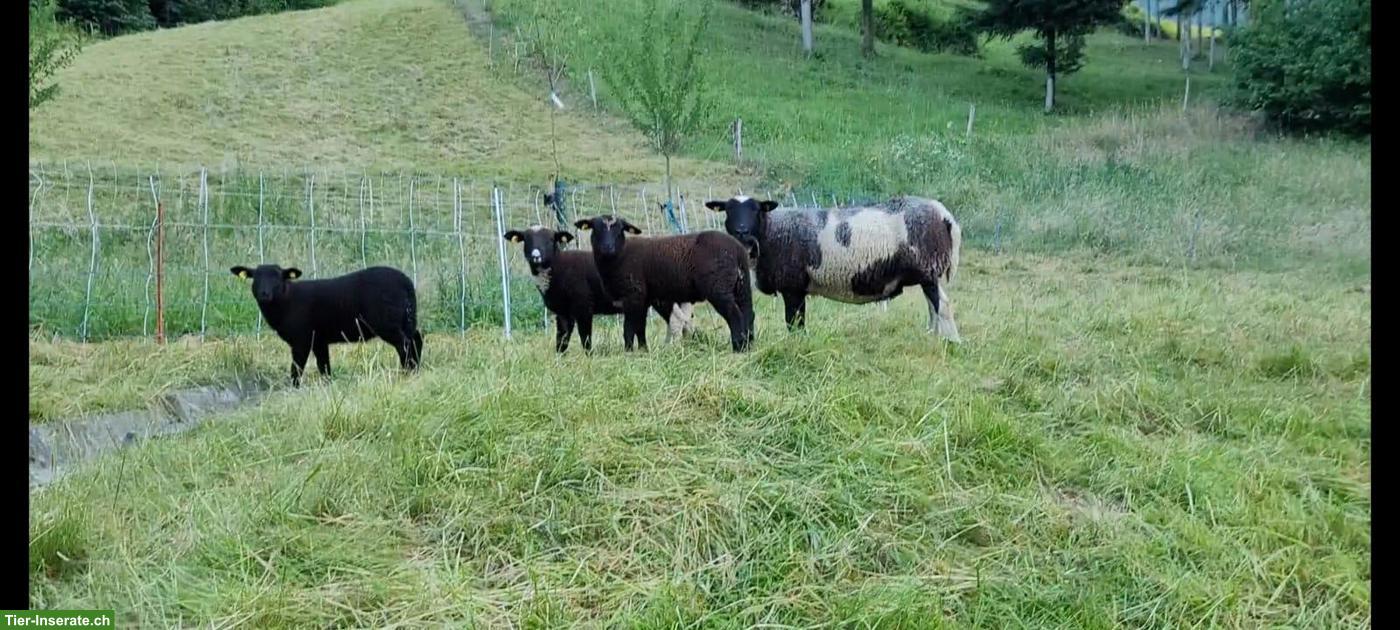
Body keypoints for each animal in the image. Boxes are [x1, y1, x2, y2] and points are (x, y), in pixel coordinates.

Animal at [229, 264, 423, 386]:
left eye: (278, 278)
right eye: (255, 278)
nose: (264, 293)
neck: (287, 300)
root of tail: (406, 282)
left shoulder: (302, 339)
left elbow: (296, 368)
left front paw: (294, 389)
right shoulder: (319, 340)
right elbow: (324, 367)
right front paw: (328, 386)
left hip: (387, 322)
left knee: (404, 344)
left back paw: (406, 373)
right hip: (408, 318)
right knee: (416, 339)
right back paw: (416, 370)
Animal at [502, 225, 696, 352]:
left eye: (551, 240)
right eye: (526, 240)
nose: (536, 256)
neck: (558, 267)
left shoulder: (583, 305)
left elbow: (585, 337)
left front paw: (589, 358)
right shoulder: (563, 312)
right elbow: (562, 339)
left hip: (663, 298)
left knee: (676, 321)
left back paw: (673, 348)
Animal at [574, 214, 755, 352]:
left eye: (620, 231)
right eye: (595, 229)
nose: (607, 248)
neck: (619, 256)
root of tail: (738, 249)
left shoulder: (633, 295)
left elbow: (629, 328)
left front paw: (628, 351)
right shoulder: (643, 299)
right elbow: (640, 328)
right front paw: (643, 350)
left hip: (719, 287)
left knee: (734, 314)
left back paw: (738, 348)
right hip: (741, 285)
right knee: (748, 313)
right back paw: (749, 346)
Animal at [704, 195, 962, 342]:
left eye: (756, 209)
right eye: (728, 210)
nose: (741, 231)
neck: (772, 231)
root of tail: (946, 216)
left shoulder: (792, 286)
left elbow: (794, 322)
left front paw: (795, 345)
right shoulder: (797, 288)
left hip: (929, 268)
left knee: (942, 305)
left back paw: (948, 341)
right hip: (927, 274)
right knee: (933, 306)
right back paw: (931, 336)